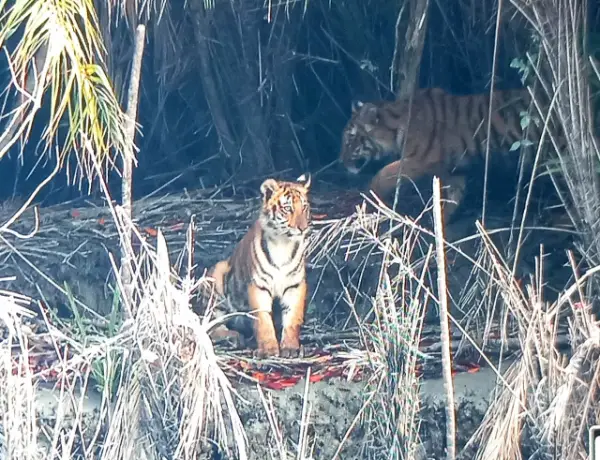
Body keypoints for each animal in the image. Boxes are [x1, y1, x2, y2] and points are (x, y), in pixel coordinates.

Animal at [204, 174, 312, 358]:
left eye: (304, 207)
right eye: (288, 208)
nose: (303, 228)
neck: (283, 244)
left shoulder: (295, 286)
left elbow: (292, 318)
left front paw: (291, 348)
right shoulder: (258, 286)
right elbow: (263, 320)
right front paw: (268, 350)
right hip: (216, 277)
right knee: (212, 326)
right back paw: (233, 337)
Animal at [339, 87, 547, 220]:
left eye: (350, 138)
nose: (341, 161)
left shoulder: (420, 160)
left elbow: (384, 174)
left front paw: (370, 195)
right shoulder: (456, 169)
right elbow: (451, 197)